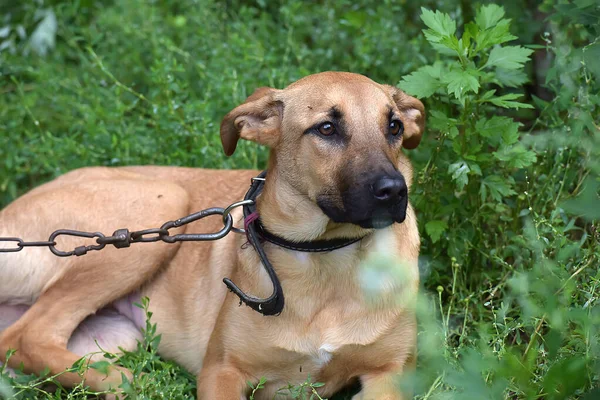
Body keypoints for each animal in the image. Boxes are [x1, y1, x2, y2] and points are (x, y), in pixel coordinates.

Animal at [1, 72, 426, 400]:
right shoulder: (222, 369)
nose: (394, 191)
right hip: (156, 206)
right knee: (27, 337)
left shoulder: (390, 374)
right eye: (327, 128)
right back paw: (127, 382)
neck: (326, 254)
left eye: (394, 127)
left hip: (116, 332)